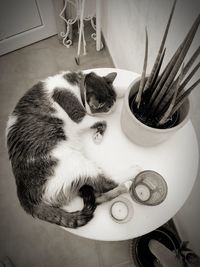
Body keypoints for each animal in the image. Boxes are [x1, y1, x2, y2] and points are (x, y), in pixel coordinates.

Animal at [6, 71, 122, 230]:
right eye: (108, 108)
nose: (114, 108)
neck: (76, 85)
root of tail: (26, 198)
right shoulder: (78, 116)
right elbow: (103, 121)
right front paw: (98, 135)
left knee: (97, 196)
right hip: (75, 163)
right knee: (106, 184)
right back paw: (132, 176)